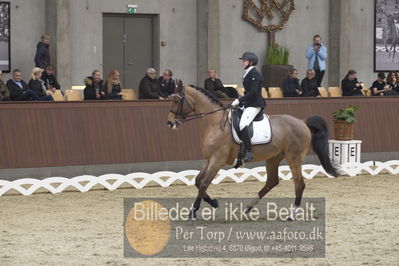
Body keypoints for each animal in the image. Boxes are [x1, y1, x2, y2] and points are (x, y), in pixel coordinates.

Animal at [167, 82, 340, 219]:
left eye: (176, 100)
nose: (169, 123)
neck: (215, 123)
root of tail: (302, 122)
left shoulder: (218, 160)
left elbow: (203, 184)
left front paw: (193, 212)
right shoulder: (210, 159)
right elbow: (197, 181)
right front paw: (214, 202)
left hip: (294, 158)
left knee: (299, 184)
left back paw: (292, 214)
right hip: (273, 158)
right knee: (272, 182)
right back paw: (248, 207)